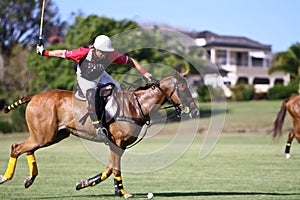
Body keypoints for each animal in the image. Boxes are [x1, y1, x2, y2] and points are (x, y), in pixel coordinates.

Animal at [0, 71, 199, 198]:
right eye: (183, 87)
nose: (195, 110)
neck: (136, 105)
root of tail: (33, 97)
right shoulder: (117, 142)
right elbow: (115, 168)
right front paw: (123, 193)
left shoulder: (119, 145)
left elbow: (110, 168)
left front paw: (85, 183)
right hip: (44, 135)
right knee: (16, 147)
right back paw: (5, 178)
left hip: (53, 136)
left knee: (28, 149)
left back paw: (29, 179)